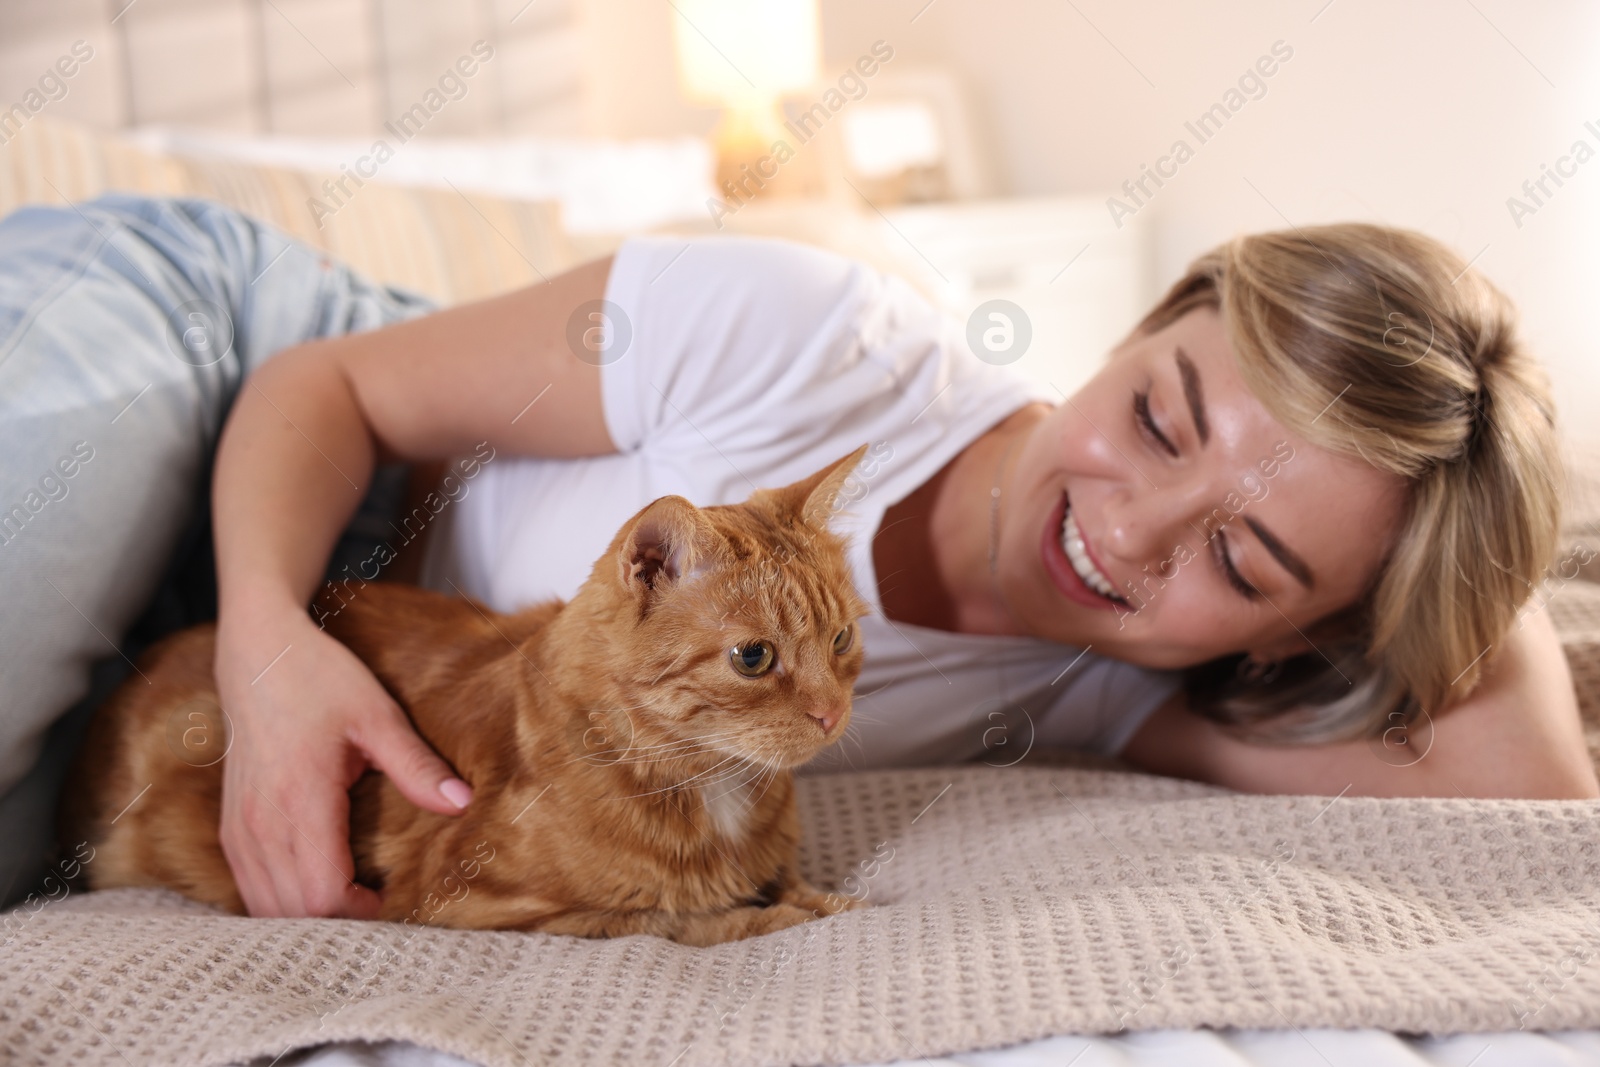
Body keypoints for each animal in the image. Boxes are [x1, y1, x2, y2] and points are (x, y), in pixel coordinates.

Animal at [59, 447, 876, 947]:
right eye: (753, 657)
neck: (715, 787)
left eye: (840, 639)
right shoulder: (479, 908)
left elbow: (798, 885)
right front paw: (772, 917)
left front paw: (821, 898)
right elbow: (674, 917)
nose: (833, 714)